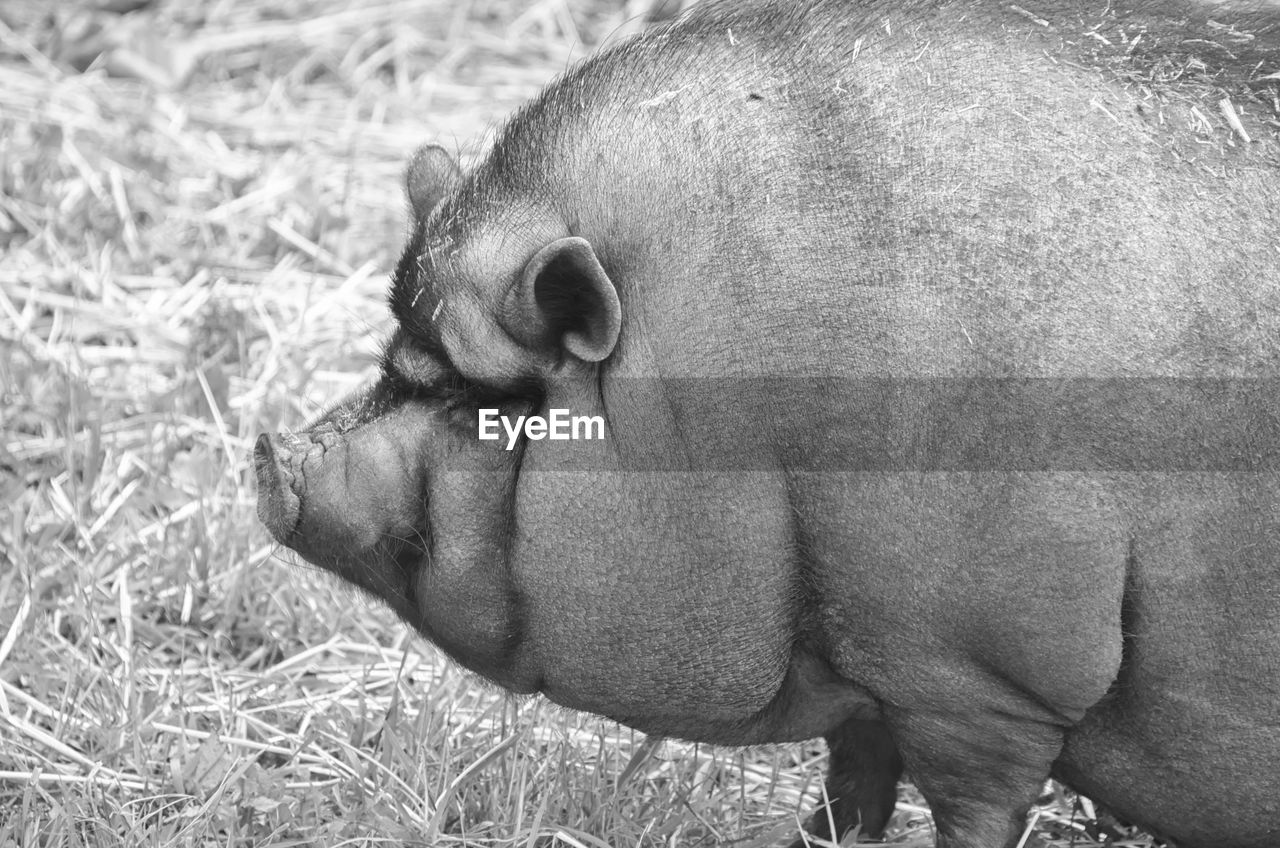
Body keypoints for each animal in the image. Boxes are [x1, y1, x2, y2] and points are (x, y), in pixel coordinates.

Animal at [254, 1, 1280, 848]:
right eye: (395, 357)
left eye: (480, 402)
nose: (272, 451)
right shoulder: (875, 668)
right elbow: (854, 778)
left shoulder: (978, 675)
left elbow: (972, 807)